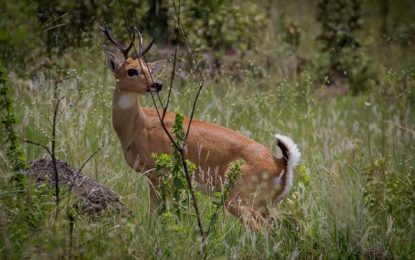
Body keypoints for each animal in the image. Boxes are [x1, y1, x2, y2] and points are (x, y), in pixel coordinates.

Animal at [102, 25, 300, 229]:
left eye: (149, 69)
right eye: (132, 71)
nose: (157, 84)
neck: (137, 127)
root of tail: (281, 163)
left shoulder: (160, 172)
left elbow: (156, 211)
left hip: (239, 196)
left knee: (263, 229)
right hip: (265, 203)